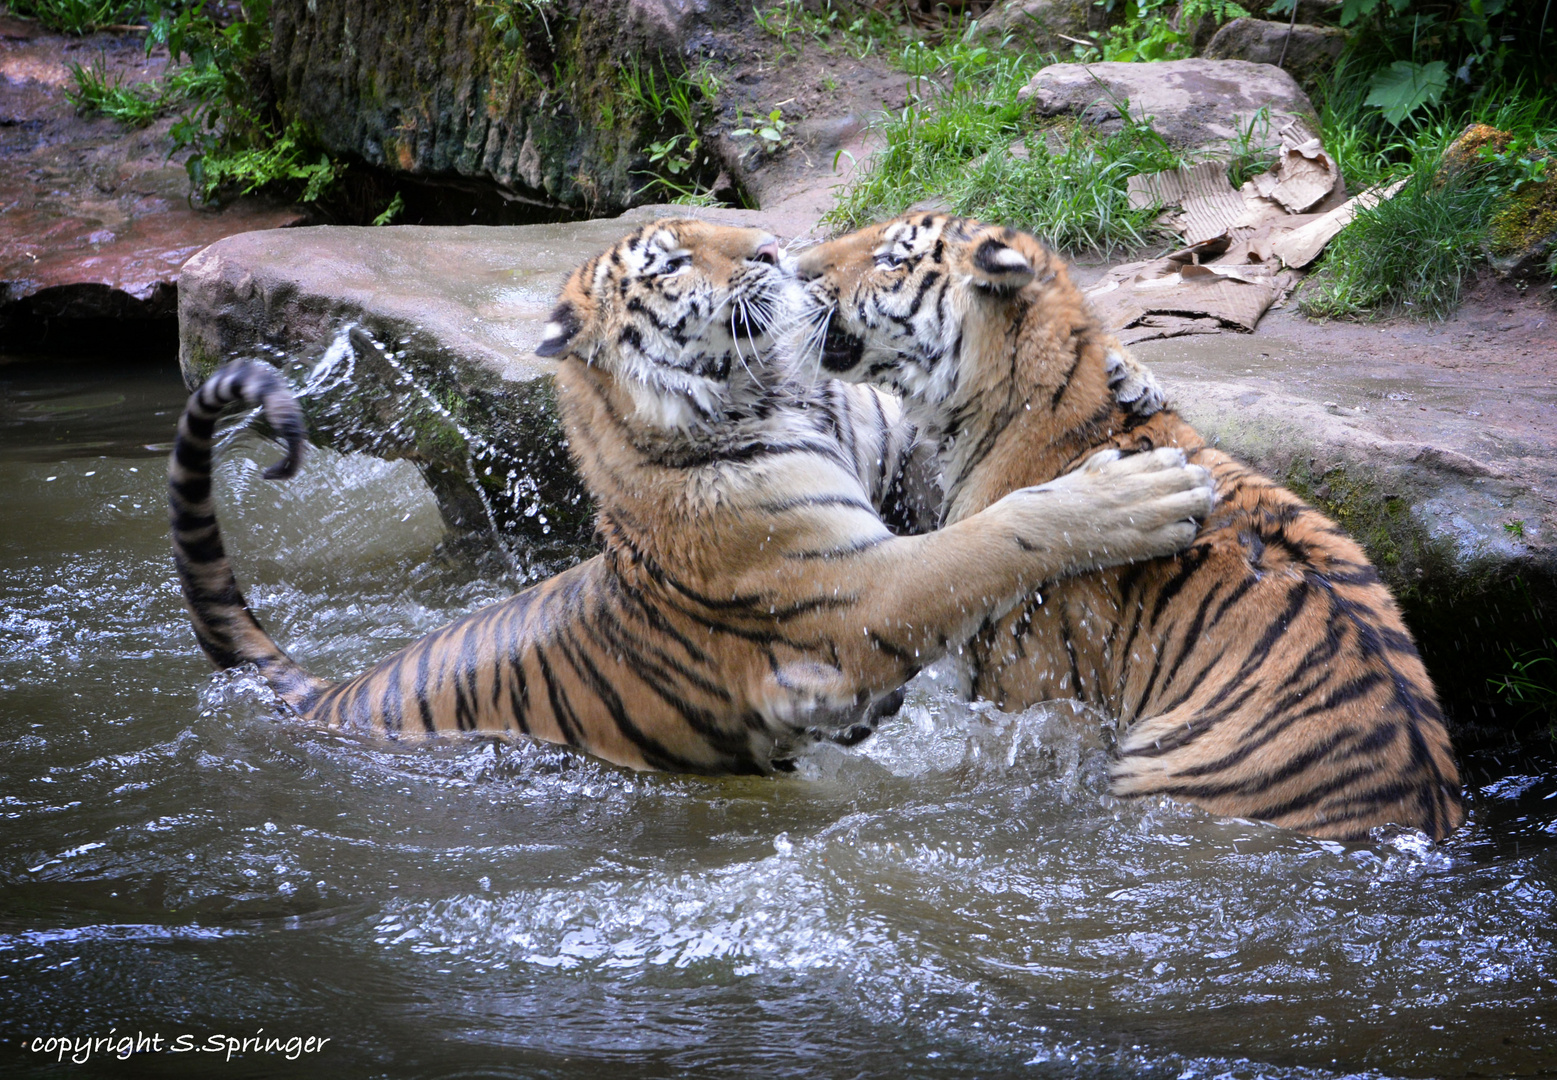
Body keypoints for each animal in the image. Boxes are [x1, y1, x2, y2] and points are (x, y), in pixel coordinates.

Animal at [170, 219, 1214, 778]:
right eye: (669, 263)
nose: (774, 247)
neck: (773, 393)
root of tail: (325, 698)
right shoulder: (862, 598)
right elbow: (996, 535)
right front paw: (1138, 493)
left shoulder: (886, 464)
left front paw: (1131, 378)